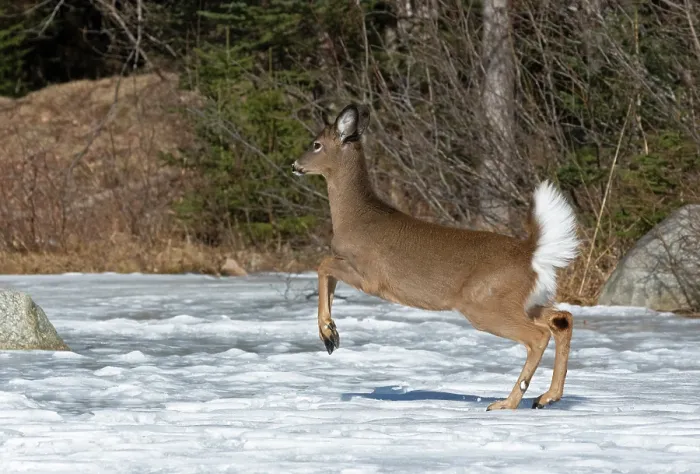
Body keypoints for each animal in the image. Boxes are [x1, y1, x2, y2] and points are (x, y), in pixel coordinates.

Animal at [291, 104, 580, 410]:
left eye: (316, 144)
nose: (295, 165)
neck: (354, 218)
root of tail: (531, 253)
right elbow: (327, 275)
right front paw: (331, 333)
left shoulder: (370, 276)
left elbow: (322, 264)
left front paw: (328, 334)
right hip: (525, 301)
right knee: (562, 319)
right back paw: (547, 397)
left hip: (484, 303)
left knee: (538, 335)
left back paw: (507, 402)